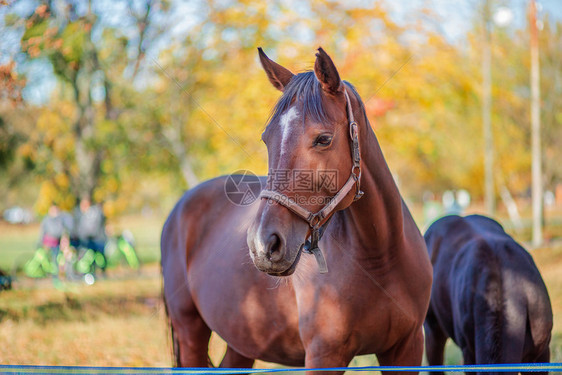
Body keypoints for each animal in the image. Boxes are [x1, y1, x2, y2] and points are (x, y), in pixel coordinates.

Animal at [160, 47, 430, 374]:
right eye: (267, 138)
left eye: (323, 139)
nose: (262, 244)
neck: (380, 257)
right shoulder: (323, 356)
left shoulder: (407, 349)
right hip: (190, 332)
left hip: (241, 341)